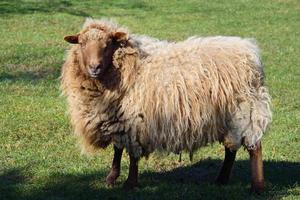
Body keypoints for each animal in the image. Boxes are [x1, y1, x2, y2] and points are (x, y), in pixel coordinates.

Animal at [61, 18, 272, 194]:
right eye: (82, 44)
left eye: (108, 44)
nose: (94, 68)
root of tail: (250, 52)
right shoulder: (117, 118)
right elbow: (118, 149)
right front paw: (111, 178)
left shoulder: (134, 120)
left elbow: (132, 155)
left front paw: (130, 183)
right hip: (229, 118)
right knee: (231, 148)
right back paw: (221, 180)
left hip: (246, 111)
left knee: (255, 147)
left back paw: (257, 186)